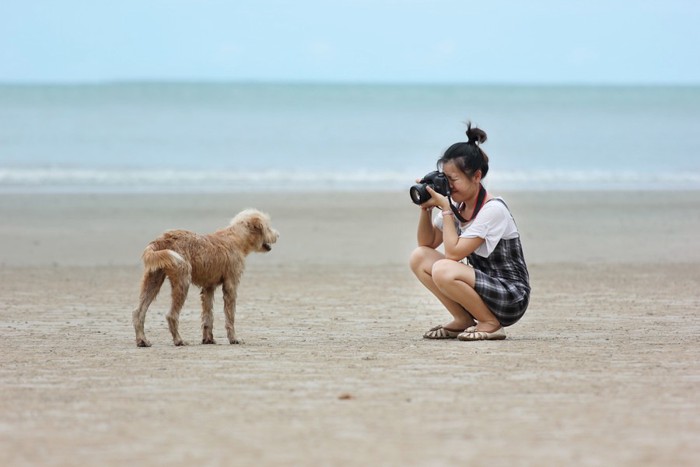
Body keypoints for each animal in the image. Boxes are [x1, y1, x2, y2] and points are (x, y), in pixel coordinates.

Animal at [132, 208, 278, 348]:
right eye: (268, 227)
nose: (278, 235)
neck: (237, 238)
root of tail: (162, 239)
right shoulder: (230, 285)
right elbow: (230, 316)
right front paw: (233, 339)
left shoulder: (209, 287)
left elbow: (208, 316)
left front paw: (208, 339)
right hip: (182, 282)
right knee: (171, 315)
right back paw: (179, 340)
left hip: (153, 280)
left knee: (138, 312)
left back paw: (142, 341)